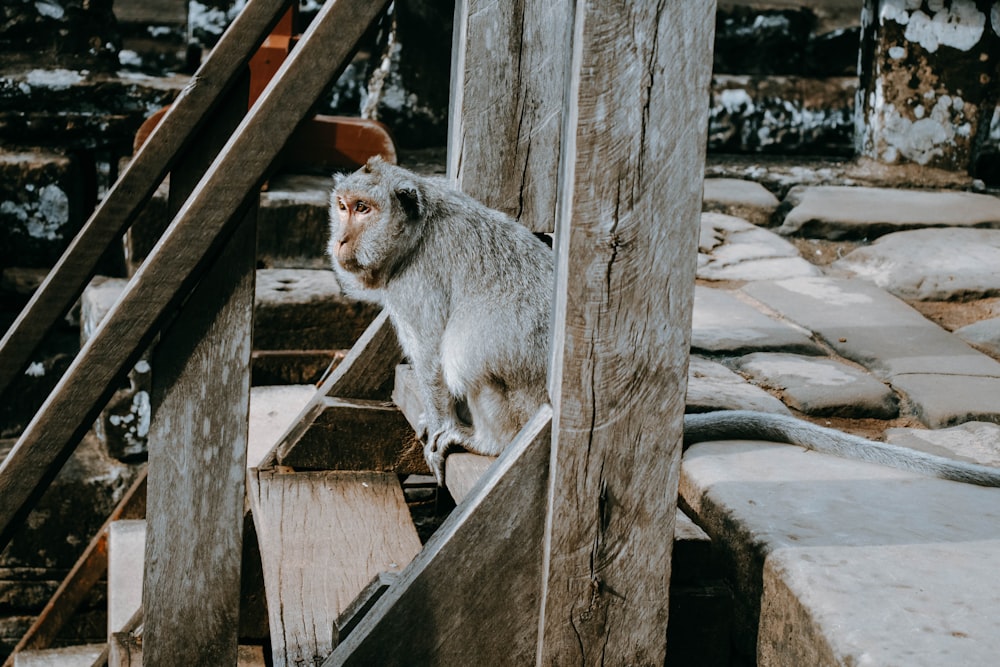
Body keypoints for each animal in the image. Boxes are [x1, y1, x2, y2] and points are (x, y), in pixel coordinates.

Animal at [332, 159, 1000, 488]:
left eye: (364, 209)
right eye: (343, 205)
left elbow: (435, 354)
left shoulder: (418, 282)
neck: (414, 233)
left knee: (473, 354)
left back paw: (488, 441)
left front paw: (444, 421)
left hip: (520, 404)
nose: (339, 238)